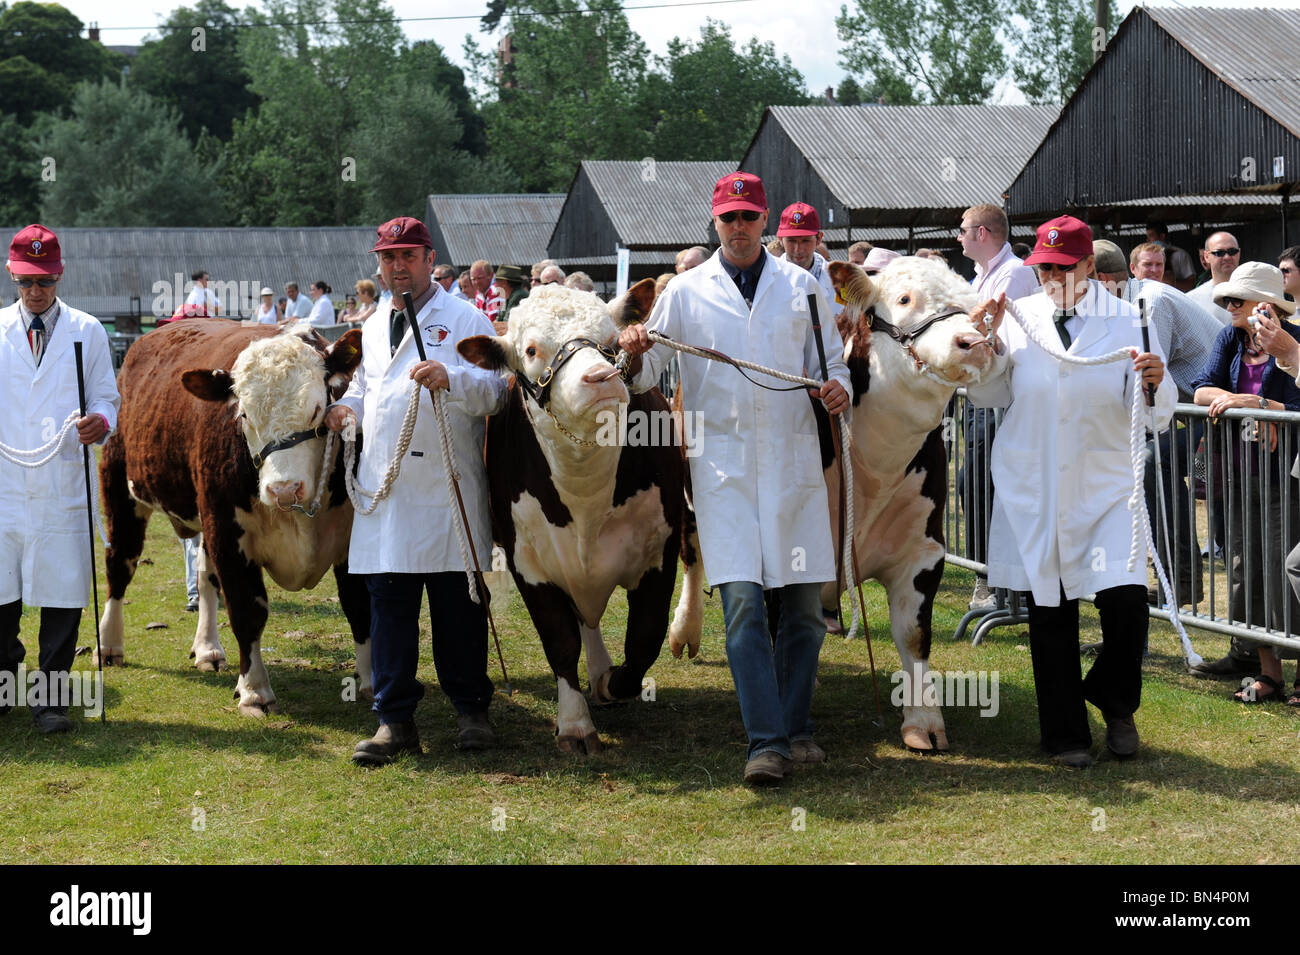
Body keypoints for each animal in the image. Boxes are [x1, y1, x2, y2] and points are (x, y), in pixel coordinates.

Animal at [97, 320, 366, 717]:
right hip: (121, 489)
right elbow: (246, 610)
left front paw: (370, 681)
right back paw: (109, 645)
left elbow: (360, 605)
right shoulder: (228, 534)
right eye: (243, 415)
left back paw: (207, 648)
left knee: (204, 575)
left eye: (318, 408)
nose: (284, 489)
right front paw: (254, 690)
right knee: (120, 564)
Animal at [460, 281, 696, 753]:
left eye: (613, 340)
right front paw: (574, 724)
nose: (601, 379)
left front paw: (609, 683)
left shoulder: (658, 553)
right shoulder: (529, 563)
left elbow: (644, 639)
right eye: (531, 349)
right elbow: (560, 642)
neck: (585, 491)